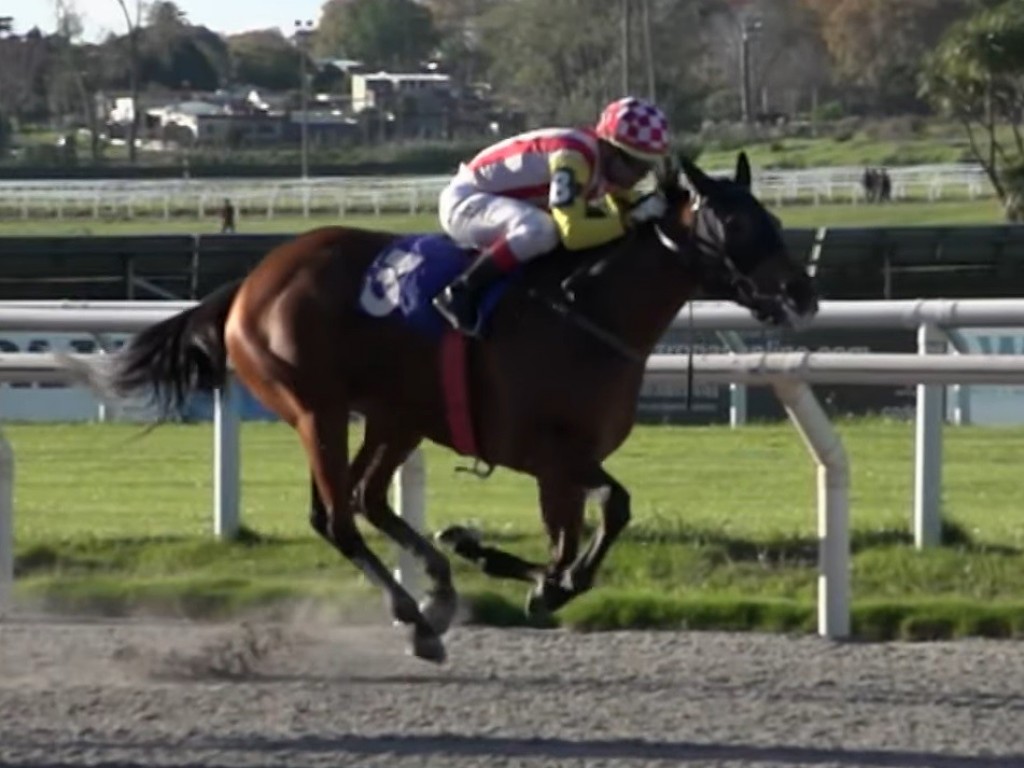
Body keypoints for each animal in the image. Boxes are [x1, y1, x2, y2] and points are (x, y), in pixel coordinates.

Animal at [75, 153, 819, 663]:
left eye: (776, 219)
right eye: (735, 221)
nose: (803, 293)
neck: (587, 309)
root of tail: (250, 282)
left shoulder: (566, 460)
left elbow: (583, 532)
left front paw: (492, 558)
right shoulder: (542, 451)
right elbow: (605, 515)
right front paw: (525, 574)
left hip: (395, 415)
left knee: (368, 500)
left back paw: (436, 591)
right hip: (316, 407)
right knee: (336, 518)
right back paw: (414, 614)